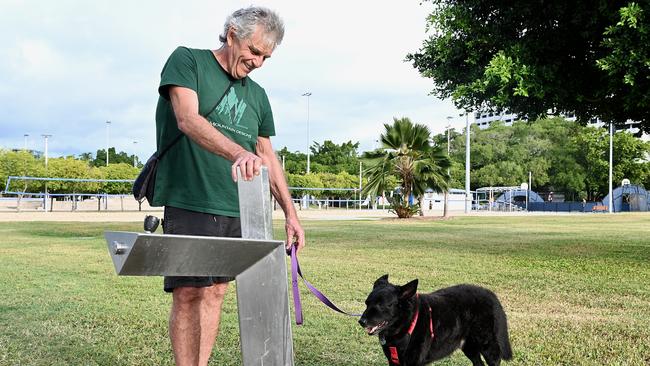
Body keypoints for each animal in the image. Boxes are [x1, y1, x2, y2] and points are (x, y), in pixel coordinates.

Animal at [356, 276, 508, 364]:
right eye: (367, 303)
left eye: (381, 305)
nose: (361, 321)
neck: (408, 323)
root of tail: (491, 294)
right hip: (469, 346)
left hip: (487, 346)